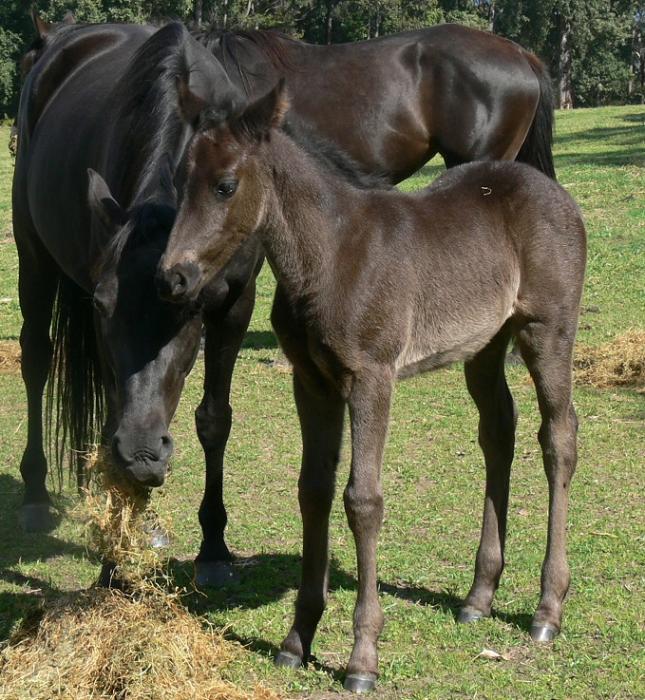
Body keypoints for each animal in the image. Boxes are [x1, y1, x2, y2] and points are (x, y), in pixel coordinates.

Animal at [157, 81, 586, 692]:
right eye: (178, 180)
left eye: (225, 185)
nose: (172, 276)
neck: (330, 254)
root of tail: (557, 195)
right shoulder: (311, 381)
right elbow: (312, 491)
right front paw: (297, 639)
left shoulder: (371, 378)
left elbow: (362, 500)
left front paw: (363, 658)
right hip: (485, 344)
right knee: (499, 432)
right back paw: (479, 596)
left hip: (546, 330)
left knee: (559, 438)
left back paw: (548, 609)